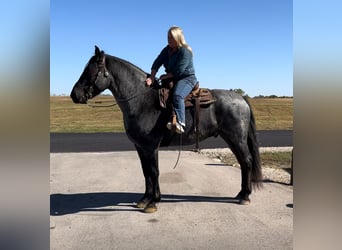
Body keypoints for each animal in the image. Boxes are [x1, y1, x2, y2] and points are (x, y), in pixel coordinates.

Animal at [69, 45, 262, 213]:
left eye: (90, 71)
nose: (74, 95)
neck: (142, 100)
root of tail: (241, 98)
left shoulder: (151, 146)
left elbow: (154, 172)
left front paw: (153, 202)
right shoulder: (140, 147)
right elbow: (146, 171)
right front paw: (145, 199)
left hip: (237, 138)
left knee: (247, 161)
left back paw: (245, 196)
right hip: (230, 139)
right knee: (243, 162)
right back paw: (240, 193)